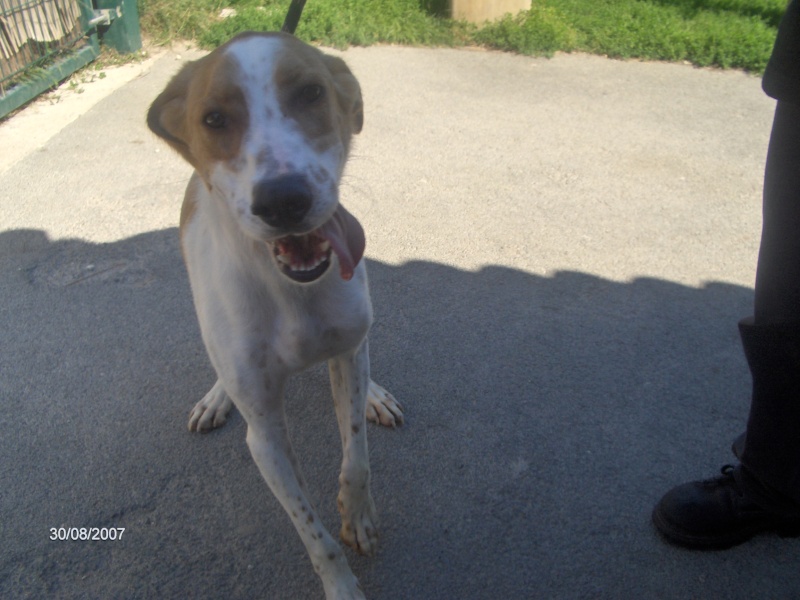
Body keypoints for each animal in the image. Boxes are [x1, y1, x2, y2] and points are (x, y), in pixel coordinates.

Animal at [148, 31, 404, 600]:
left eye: (311, 93)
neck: (291, 292)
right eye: (214, 118)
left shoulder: (344, 355)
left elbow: (356, 458)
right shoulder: (264, 436)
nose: (283, 200)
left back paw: (376, 392)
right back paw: (215, 398)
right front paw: (342, 586)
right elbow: (315, 535)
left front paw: (359, 516)